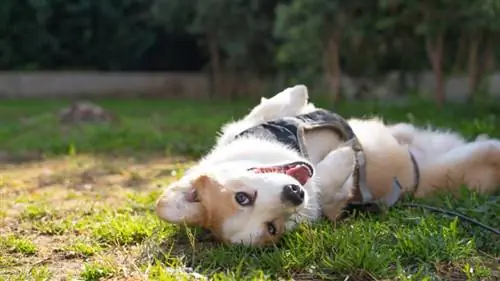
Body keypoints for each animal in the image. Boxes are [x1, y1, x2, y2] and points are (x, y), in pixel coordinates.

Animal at [155, 85, 500, 245]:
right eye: (272, 228)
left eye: (243, 197)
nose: (294, 194)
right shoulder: (334, 199)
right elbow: (331, 184)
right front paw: (345, 157)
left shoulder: (248, 126)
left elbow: (273, 105)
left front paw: (297, 93)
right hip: (466, 162)